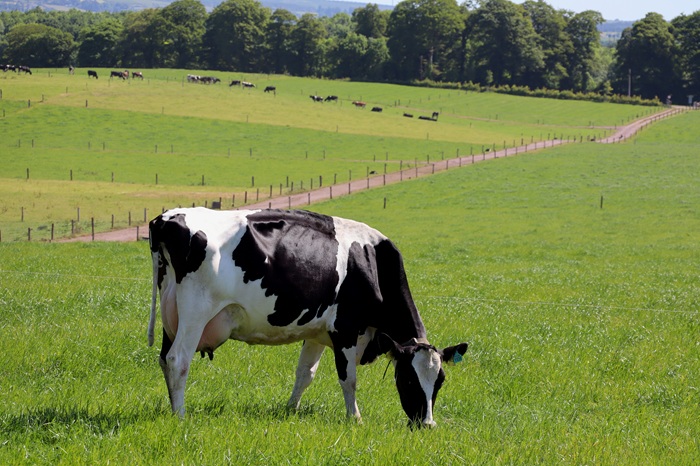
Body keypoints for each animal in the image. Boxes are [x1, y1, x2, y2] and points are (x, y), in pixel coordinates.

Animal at [148, 208, 468, 427]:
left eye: (439, 382)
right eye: (409, 380)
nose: (427, 425)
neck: (372, 263)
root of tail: (167, 218)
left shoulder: (317, 333)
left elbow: (305, 374)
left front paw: (291, 409)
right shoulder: (346, 330)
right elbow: (348, 379)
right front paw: (355, 419)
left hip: (171, 314)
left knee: (164, 359)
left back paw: (171, 408)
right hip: (195, 310)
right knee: (178, 360)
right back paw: (180, 416)